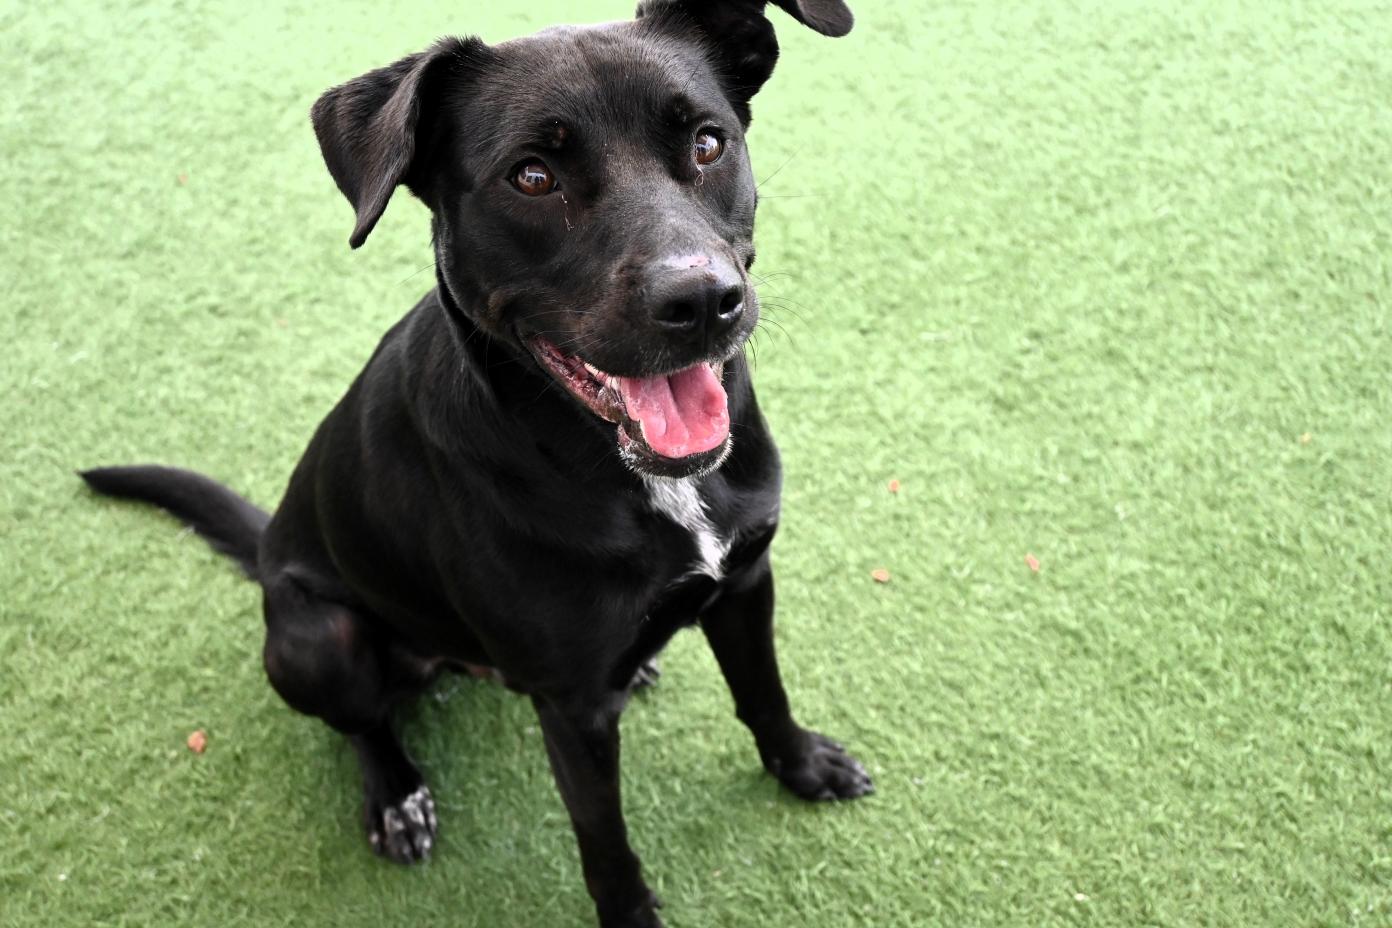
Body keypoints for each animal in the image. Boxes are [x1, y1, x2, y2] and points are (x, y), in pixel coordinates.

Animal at [81, 2, 869, 925]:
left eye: (708, 143)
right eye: (532, 177)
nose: (704, 301)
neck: (638, 480)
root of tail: (271, 544)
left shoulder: (745, 582)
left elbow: (764, 693)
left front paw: (803, 766)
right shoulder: (572, 709)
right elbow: (604, 841)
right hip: (320, 639)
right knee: (364, 723)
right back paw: (395, 796)